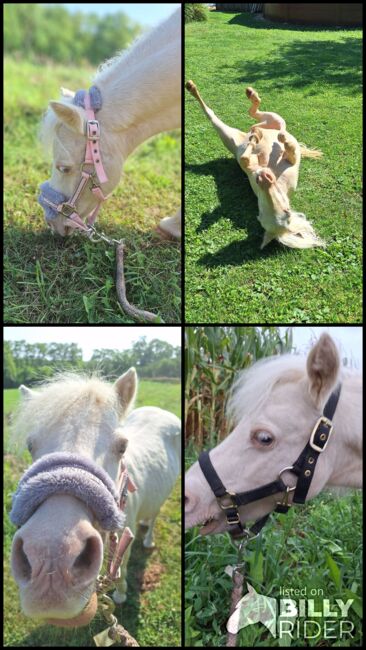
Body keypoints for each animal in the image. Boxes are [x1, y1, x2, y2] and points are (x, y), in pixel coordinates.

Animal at [8, 364, 180, 624]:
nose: (50, 567)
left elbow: (121, 566)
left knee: (154, 516)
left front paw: (119, 595)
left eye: (122, 447)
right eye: (30, 446)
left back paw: (148, 538)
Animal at [186, 82, 324, 249]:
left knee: (218, 115)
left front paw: (260, 140)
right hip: (267, 121)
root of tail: (241, 136)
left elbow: (249, 157)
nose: (263, 176)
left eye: (286, 213)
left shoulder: (277, 164)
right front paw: (261, 139)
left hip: (230, 133)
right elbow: (282, 147)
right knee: (254, 115)